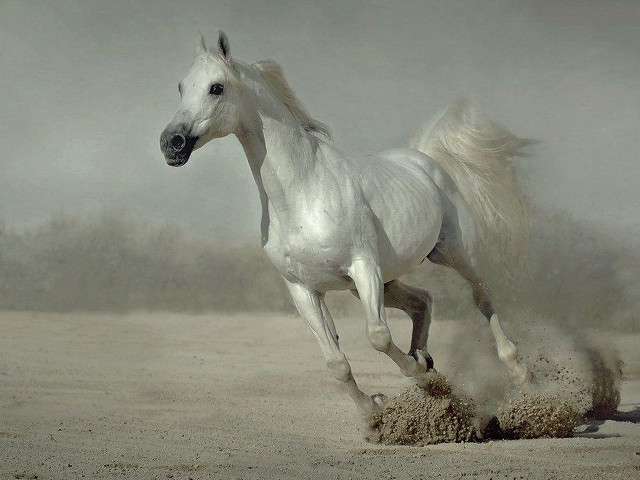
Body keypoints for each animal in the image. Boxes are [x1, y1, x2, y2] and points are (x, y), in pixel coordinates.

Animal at [160, 32, 533, 415]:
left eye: (216, 88)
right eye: (181, 87)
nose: (171, 143)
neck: (304, 194)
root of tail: (424, 159)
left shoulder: (363, 267)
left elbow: (378, 336)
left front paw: (414, 374)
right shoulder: (304, 290)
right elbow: (336, 362)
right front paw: (375, 408)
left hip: (453, 254)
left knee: (482, 297)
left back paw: (519, 372)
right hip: (382, 280)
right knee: (423, 300)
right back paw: (426, 361)